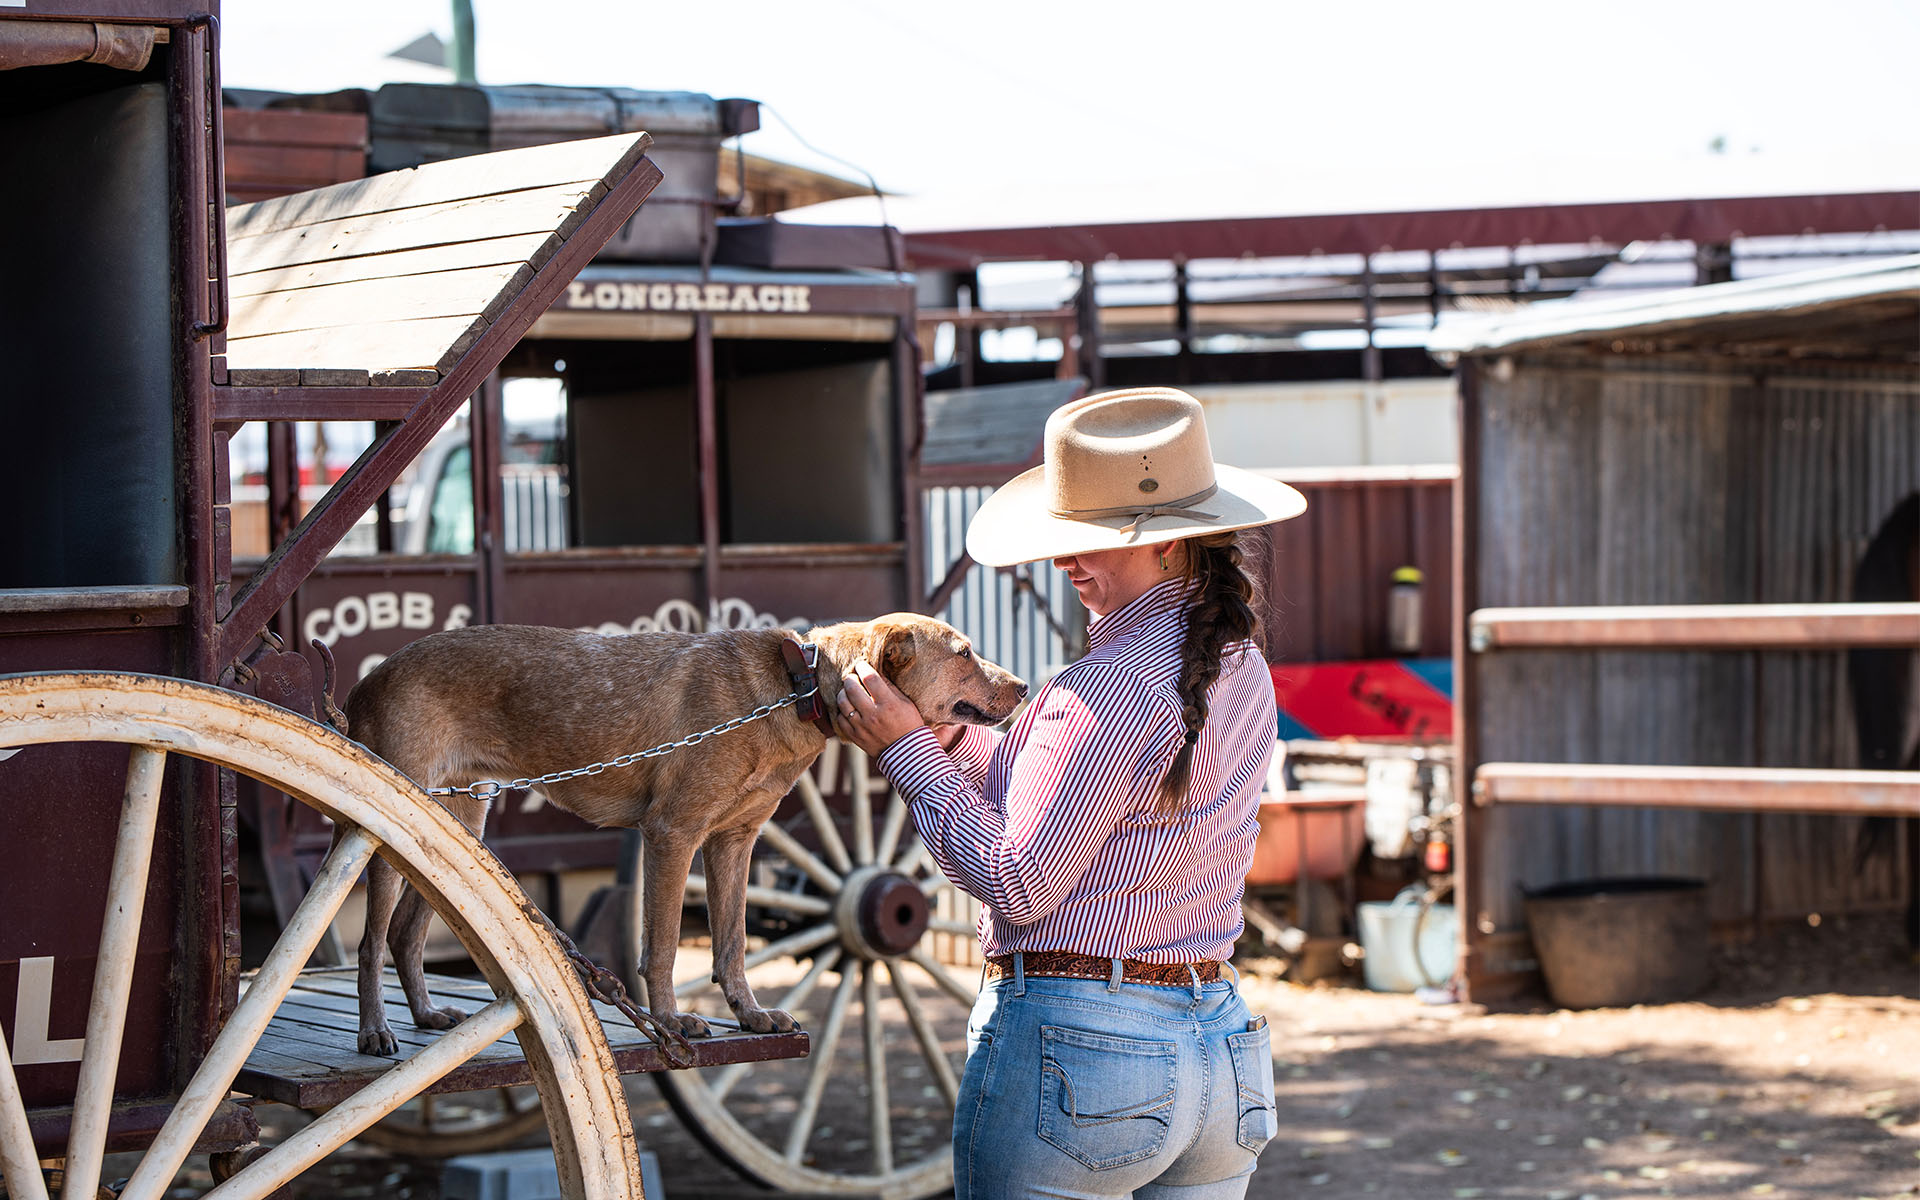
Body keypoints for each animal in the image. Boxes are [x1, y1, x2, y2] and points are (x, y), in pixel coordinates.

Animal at [351, 614, 1029, 1052]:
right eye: (964, 653)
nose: (1025, 685)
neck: (796, 688)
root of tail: (369, 678)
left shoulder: (734, 842)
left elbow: (731, 945)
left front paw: (750, 1016)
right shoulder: (671, 835)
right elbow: (665, 948)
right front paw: (672, 1024)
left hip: (448, 830)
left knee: (406, 934)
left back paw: (424, 1015)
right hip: (380, 835)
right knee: (371, 940)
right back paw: (374, 1031)